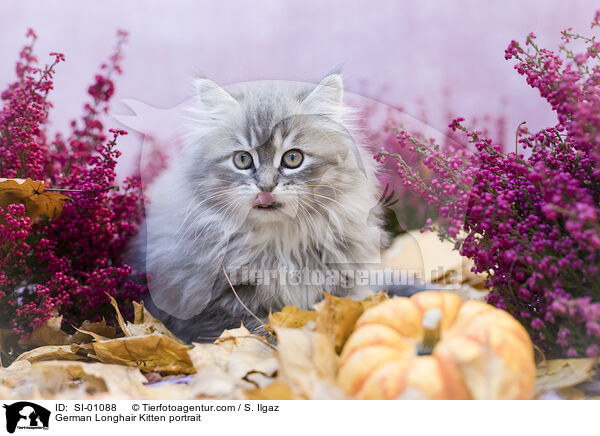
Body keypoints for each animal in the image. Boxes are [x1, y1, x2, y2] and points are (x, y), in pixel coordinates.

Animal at [132, 73, 386, 342]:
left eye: (293, 158)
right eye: (243, 159)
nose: (266, 186)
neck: (281, 242)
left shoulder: (344, 285)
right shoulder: (212, 306)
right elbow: (257, 332)